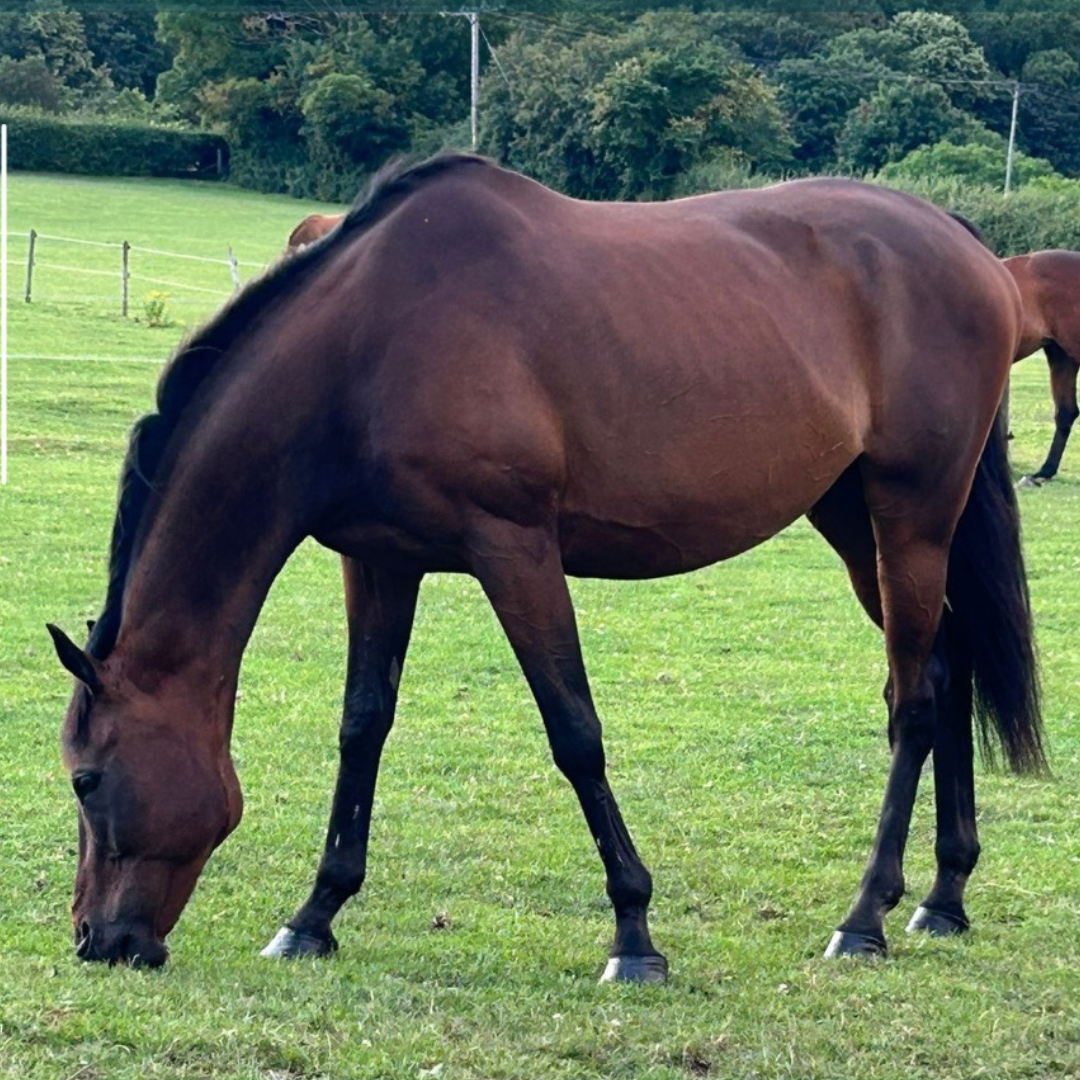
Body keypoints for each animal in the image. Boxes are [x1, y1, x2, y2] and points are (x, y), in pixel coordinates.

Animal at [50, 152, 1043, 980]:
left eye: (85, 780)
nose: (99, 941)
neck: (366, 348)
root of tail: (968, 247)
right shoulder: (379, 562)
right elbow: (363, 726)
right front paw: (314, 914)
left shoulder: (515, 548)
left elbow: (575, 733)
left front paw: (634, 935)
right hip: (852, 518)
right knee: (947, 669)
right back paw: (944, 896)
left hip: (910, 516)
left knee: (913, 702)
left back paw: (864, 917)